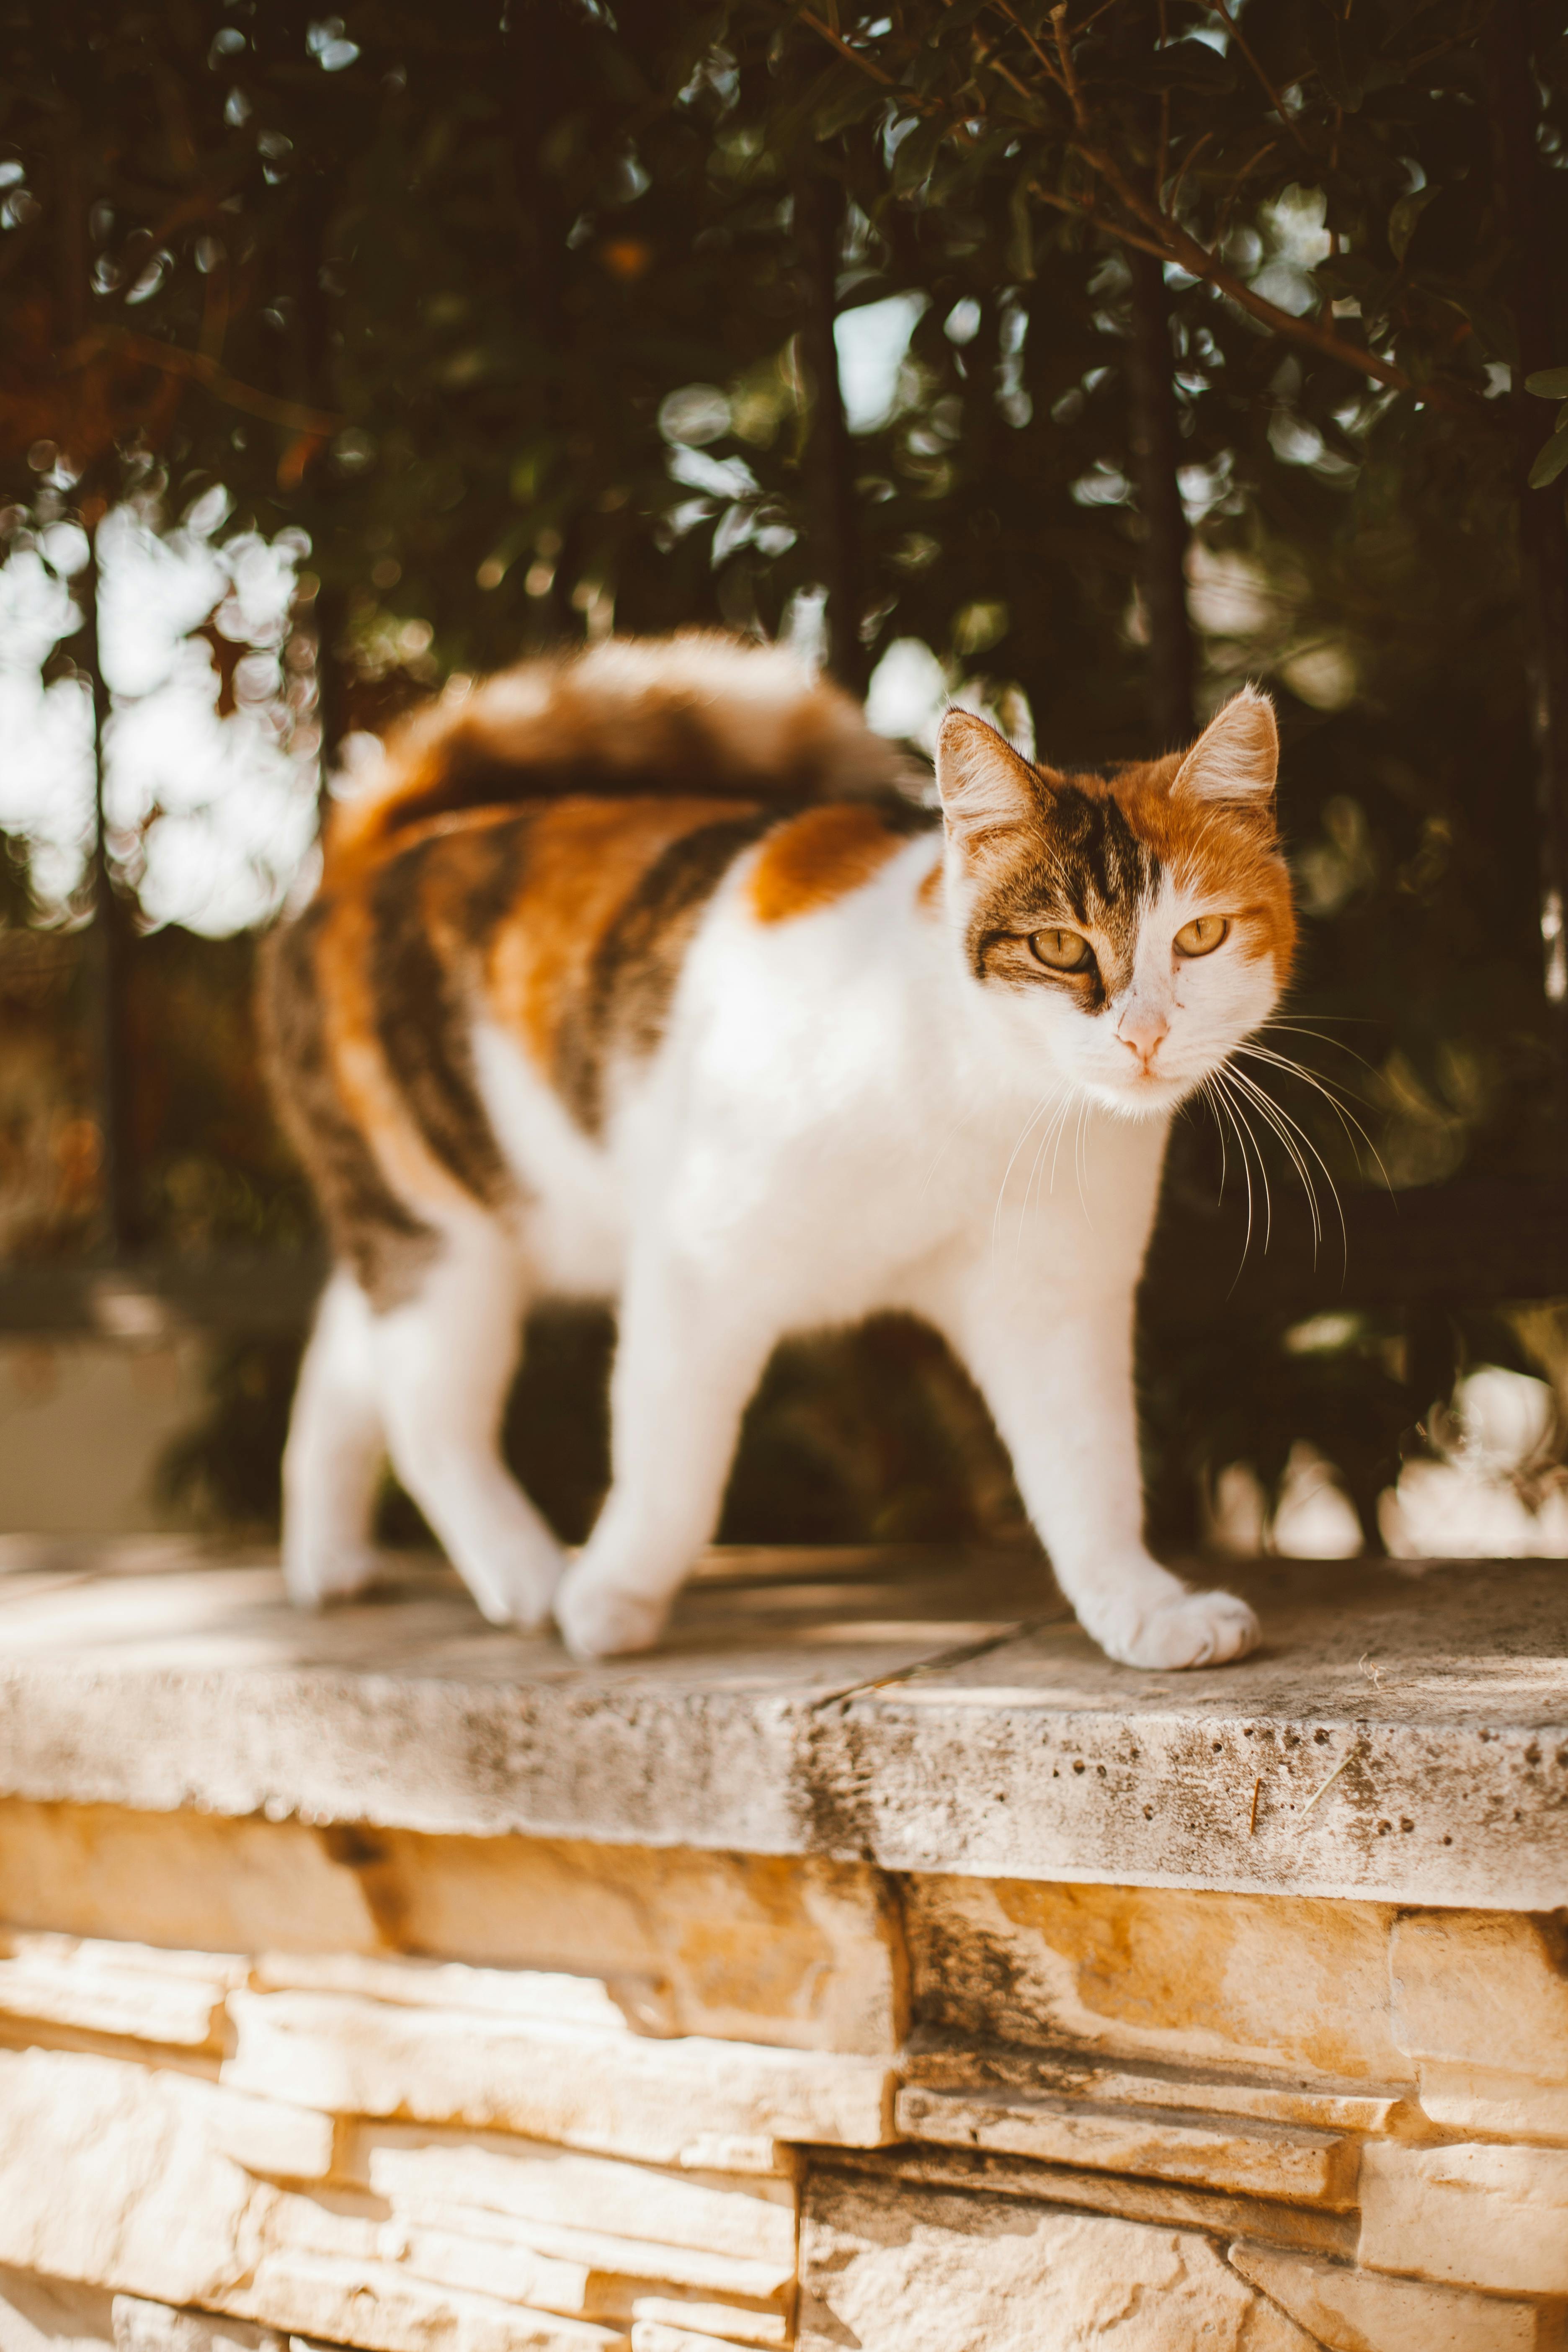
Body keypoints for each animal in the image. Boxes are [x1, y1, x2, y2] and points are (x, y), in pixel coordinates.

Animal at [263, 635, 1297, 1665]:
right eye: (1059, 948)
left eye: (1201, 935)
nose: (1145, 1036)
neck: (974, 1095)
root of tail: (370, 855)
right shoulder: (697, 1265)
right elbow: (671, 1466)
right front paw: (613, 1599)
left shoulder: (1052, 1300)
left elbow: (1091, 1472)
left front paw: (1142, 1606)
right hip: (441, 1230)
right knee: (426, 1415)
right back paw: (524, 1571)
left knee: (344, 1362)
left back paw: (329, 1556)